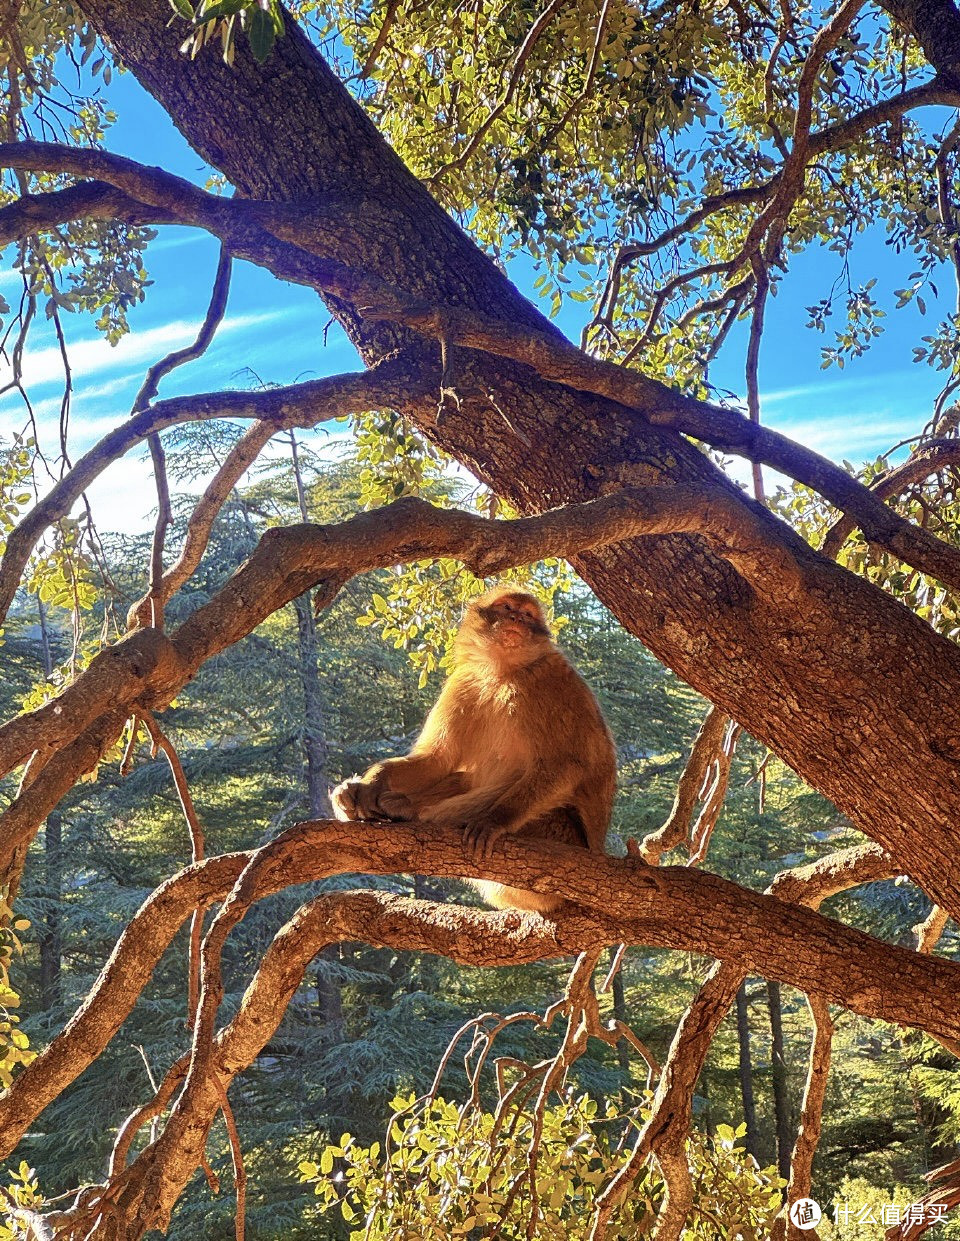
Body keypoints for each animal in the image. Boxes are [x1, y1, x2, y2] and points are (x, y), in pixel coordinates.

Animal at [329, 585, 617, 918]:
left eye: (527, 614)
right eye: (507, 608)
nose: (518, 619)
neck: (503, 673)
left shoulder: (552, 681)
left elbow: (566, 765)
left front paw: (496, 820)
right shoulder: (464, 681)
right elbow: (437, 760)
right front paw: (371, 783)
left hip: (558, 837)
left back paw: (405, 809)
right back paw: (356, 797)